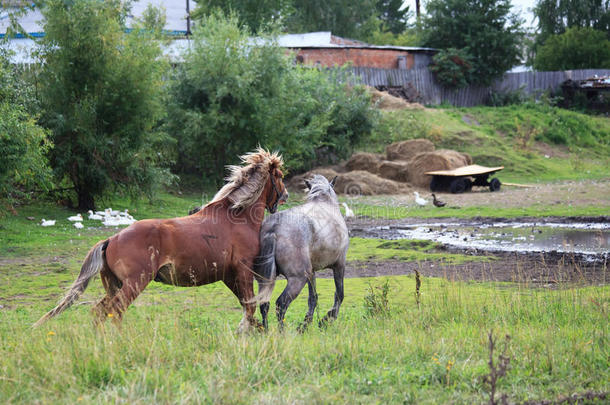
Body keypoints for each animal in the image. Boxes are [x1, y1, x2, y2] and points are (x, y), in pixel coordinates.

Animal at [34, 148, 286, 332]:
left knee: (99, 311)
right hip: (134, 283)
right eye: (280, 177)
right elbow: (250, 307)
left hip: (114, 285)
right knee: (116, 310)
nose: (285, 195)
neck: (236, 216)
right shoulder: (242, 271)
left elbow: (247, 308)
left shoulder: (228, 275)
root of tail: (111, 239)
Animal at [251, 175, 346, 330]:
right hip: (297, 279)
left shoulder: (311, 272)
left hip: (265, 279)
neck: (324, 201)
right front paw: (326, 320)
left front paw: (306, 324)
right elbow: (339, 295)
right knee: (281, 304)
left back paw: (266, 330)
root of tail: (274, 228)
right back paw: (282, 332)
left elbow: (313, 297)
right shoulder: (339, 265)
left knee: (264, 304)